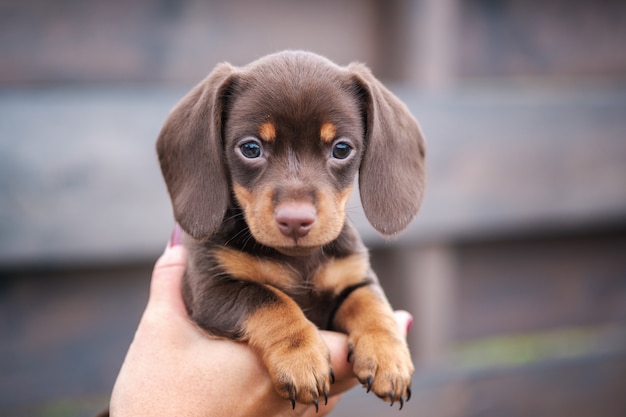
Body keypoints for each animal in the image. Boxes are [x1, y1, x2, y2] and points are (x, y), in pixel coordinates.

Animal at [156, 49, 424, 410]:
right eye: (251, 148)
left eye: (341, 148)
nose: (295, 220)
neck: (299, 259)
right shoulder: (211, 290)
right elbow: (271, 299)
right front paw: (302, 359)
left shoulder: (354, 279)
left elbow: (369, 303)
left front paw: (387, 357)